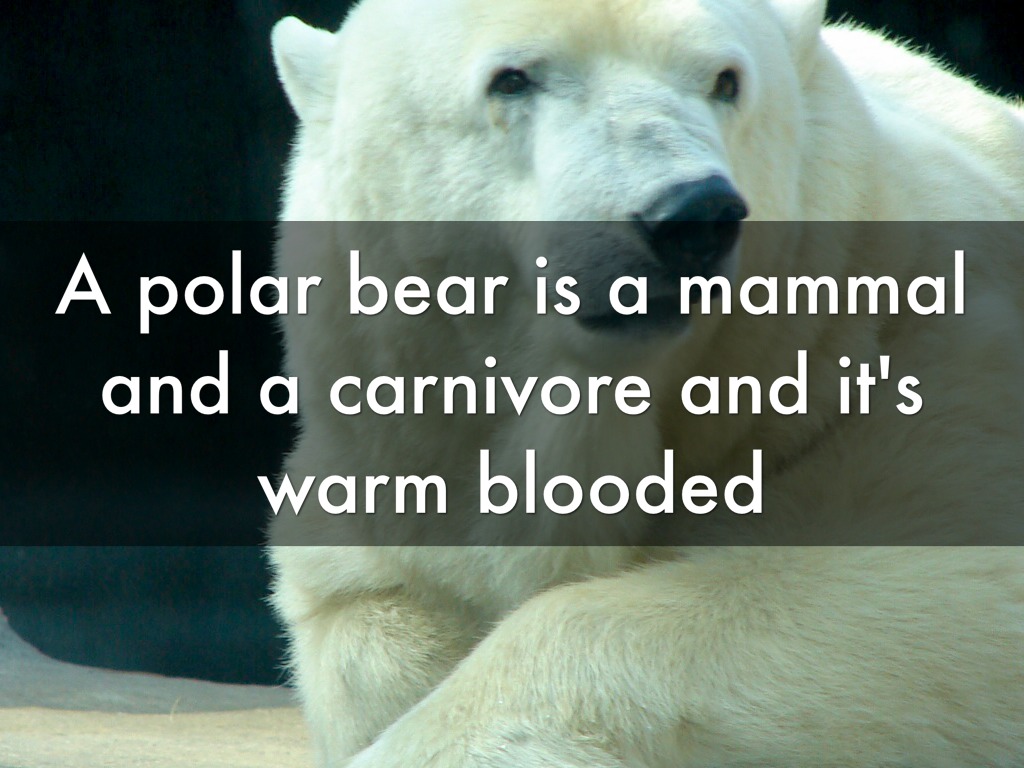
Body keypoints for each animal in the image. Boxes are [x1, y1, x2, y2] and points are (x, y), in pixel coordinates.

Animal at [266, 0, 1024, 766]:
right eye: (512, 78)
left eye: (726, 80)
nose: (692, 215)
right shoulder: (390, 453)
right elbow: (365, 615)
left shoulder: (909, 367)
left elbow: (941, 585)